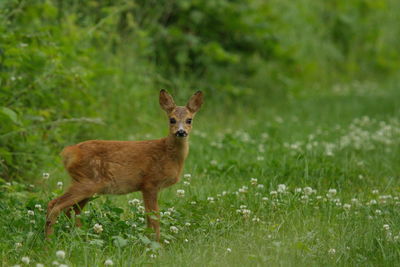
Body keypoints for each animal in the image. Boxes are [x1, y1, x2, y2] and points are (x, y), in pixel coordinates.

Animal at [44, 89, 203, 241]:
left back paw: (78, 236)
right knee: (55, 205)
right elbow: (154, 218)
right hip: (87, 181)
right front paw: (157, 243)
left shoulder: (147, 187)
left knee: (72, 210)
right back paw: (49, 240)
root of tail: (68, 153)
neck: (167, 153)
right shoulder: (150, 183)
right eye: (172, 119)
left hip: (86, 184)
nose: (181, 132)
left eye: (189, 120)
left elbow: (149, 218)